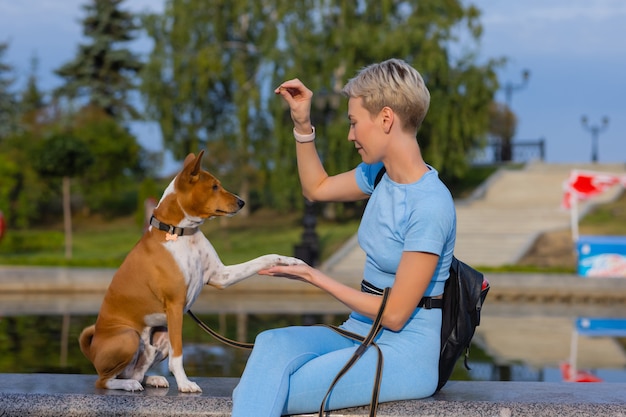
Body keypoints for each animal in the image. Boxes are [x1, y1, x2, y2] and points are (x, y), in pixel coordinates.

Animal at [79, 151, 304, 392]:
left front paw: (290, 261)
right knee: (105, 380)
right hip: (129, 336)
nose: (242, 202)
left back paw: (151, 379)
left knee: (137, 369)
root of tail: (92, 349)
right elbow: (178, 356)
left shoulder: (220, 276)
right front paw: (185, 383)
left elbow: (264, 258)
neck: (182, 233)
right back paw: (129, 384)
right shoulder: (176, 305)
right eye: (214, 187)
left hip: (159, 338)